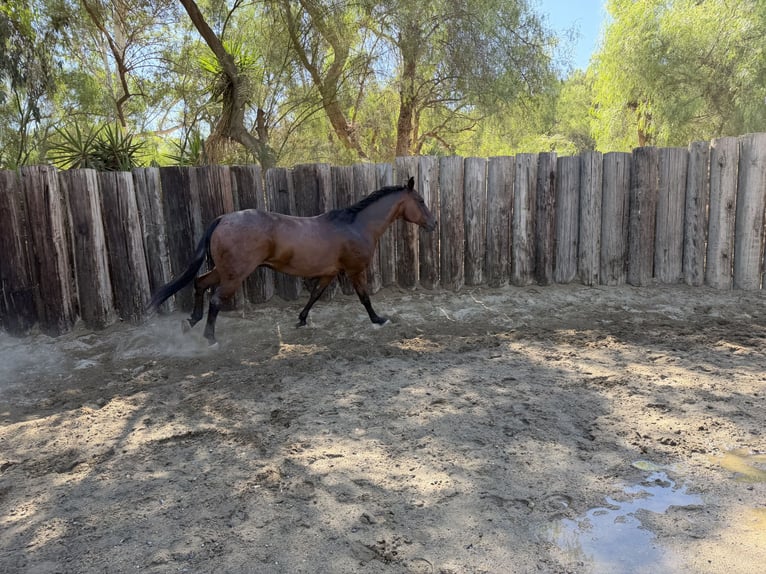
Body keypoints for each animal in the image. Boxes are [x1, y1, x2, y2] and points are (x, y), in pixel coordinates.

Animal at [148, 176, 437, 345]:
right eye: (421, 200)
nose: (433, 223)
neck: (356, 226)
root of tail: (222, 219)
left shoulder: (329, 273)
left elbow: (315, 295)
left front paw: (301, 319)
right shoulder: (355, 270)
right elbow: (364, 297)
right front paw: (379, 319)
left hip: (224, 270)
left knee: (199, 283)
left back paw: (190, 322)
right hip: (235, 274)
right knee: (216, 299)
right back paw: (210, 338)